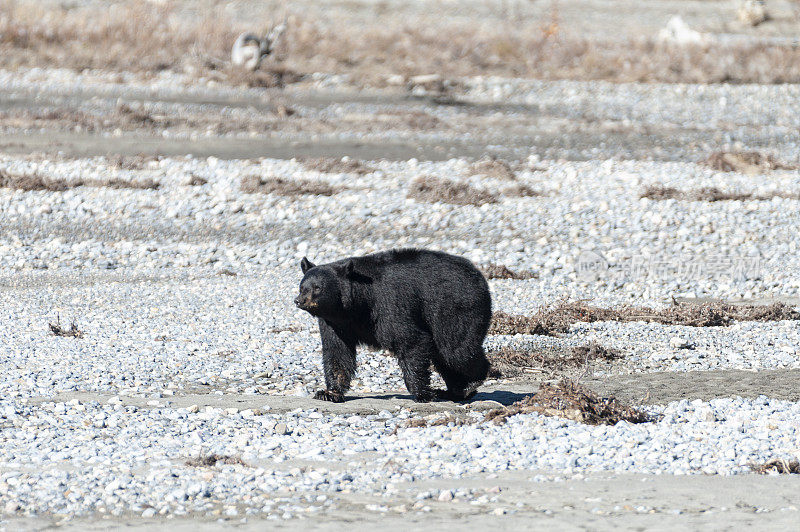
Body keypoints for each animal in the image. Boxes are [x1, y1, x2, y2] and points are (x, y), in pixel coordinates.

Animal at [296, 249, 494, 404]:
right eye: (302, 286)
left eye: (317, 287)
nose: (299, 300)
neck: (357, 304)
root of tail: (478, 274)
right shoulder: (335, 323)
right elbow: (338, 352)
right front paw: (329, 393)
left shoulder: (390, 304)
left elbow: (411, 340)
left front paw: (422, 393)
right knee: (446, 357)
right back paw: (454, 391)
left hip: (455, 308)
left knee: (456, 351)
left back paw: (470, 384)